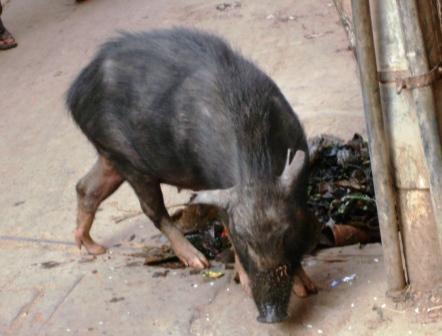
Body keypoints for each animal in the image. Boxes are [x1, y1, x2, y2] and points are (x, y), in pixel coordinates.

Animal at [65, 28, 320, 322]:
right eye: (243, 240)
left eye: (286, 234)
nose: (270, 316)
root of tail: (75, 93)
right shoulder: (216, 185)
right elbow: (224, 223)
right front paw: (246, 284)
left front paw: (310, 288)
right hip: (128, 161)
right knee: (152, 210)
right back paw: (197, 261)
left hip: (111, 156)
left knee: (85, 187)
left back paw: (92, 247)